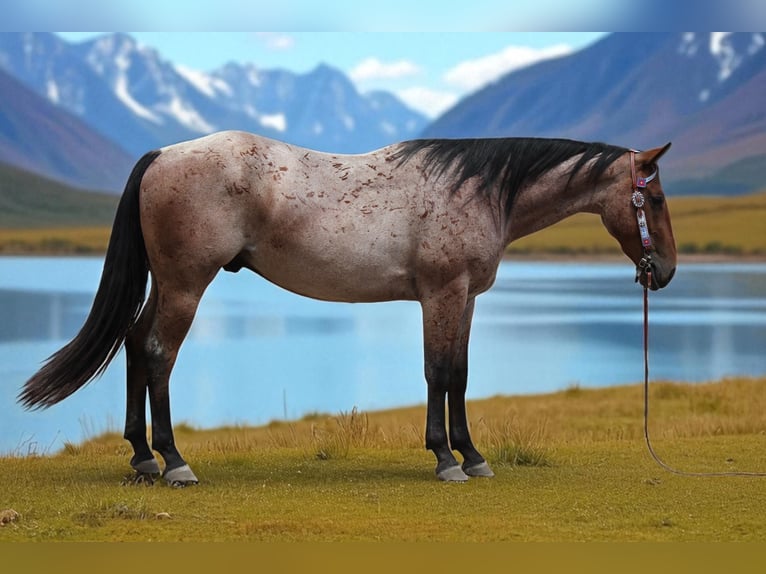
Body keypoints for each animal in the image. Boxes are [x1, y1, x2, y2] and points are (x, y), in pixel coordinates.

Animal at [18, 131, 676, 485]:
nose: (665, 272)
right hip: (186, 283)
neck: (476, 190)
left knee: (135, 344)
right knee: (158, 353)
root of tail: (162, 155)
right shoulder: (442, 293)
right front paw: (446, 459)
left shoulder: (463, 298)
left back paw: (141, 458)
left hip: (168, 282)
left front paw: (471, 455)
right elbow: (440, 372)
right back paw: (174, 461)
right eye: (657, 198)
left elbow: (460, 374)